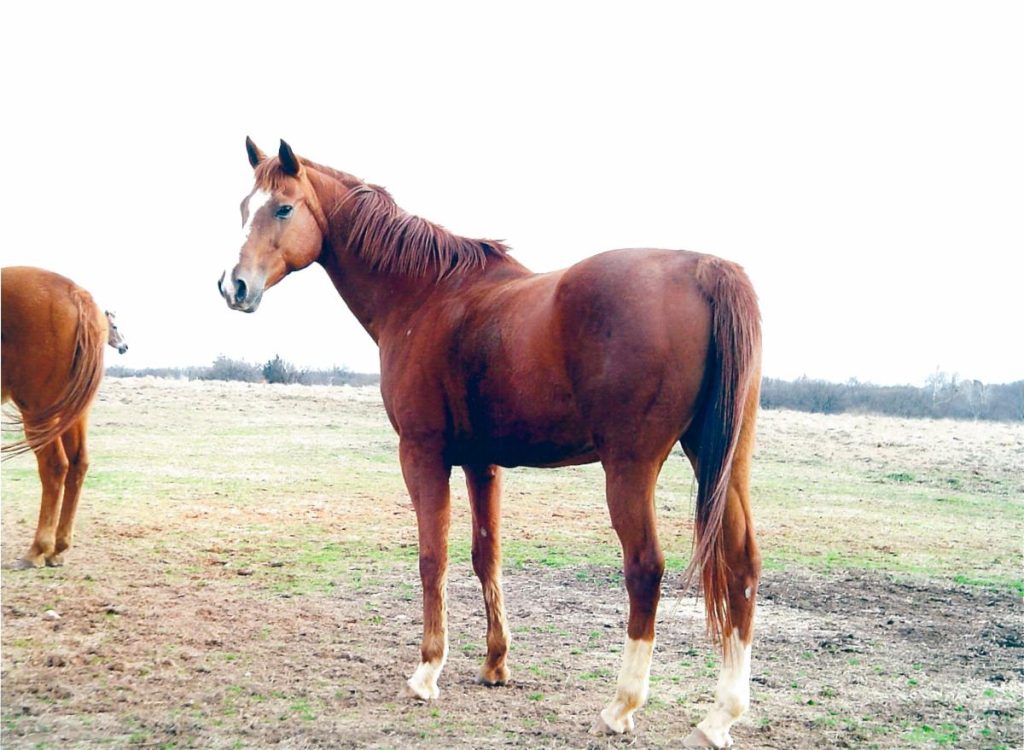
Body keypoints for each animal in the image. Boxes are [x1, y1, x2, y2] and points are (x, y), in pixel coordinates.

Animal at [1, 266, 123, 565]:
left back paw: (38, 549)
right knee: (78, 464)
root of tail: (75, 293)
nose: (124, 346)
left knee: (54, 466)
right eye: (115, 326)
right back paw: (58, 547)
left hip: (39, 412)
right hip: (75, 413)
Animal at [218, 139, 761, 745]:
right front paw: (495, 664)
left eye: (283, 208)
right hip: (721, 460)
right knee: (742, 567)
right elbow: (486, 555)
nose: (234, 286)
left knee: (645, 568)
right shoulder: (483, 462)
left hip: (631, 467)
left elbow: (433, 556)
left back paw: (621, 706)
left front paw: (427, 670)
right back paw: (719, 717)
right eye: (244, 206)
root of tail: (707, 269)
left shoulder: (423, 454)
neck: (425, 295)